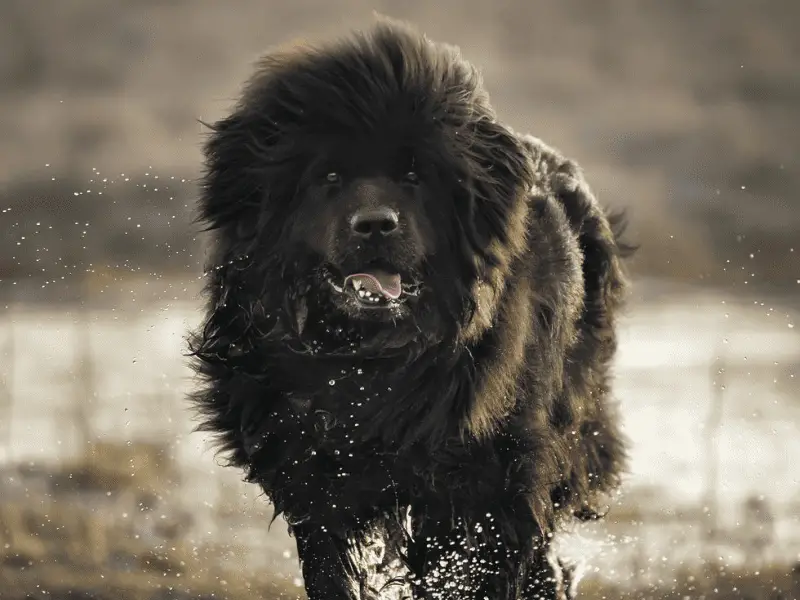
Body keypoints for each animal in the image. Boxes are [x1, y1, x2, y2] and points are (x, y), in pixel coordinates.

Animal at [188, 17, 632, 600]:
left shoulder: (496, 480)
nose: (376, 224)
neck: (368, 363)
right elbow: (331, 571)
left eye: (415, 176)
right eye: (329, 177)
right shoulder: (315, 485)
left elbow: (491, 562)